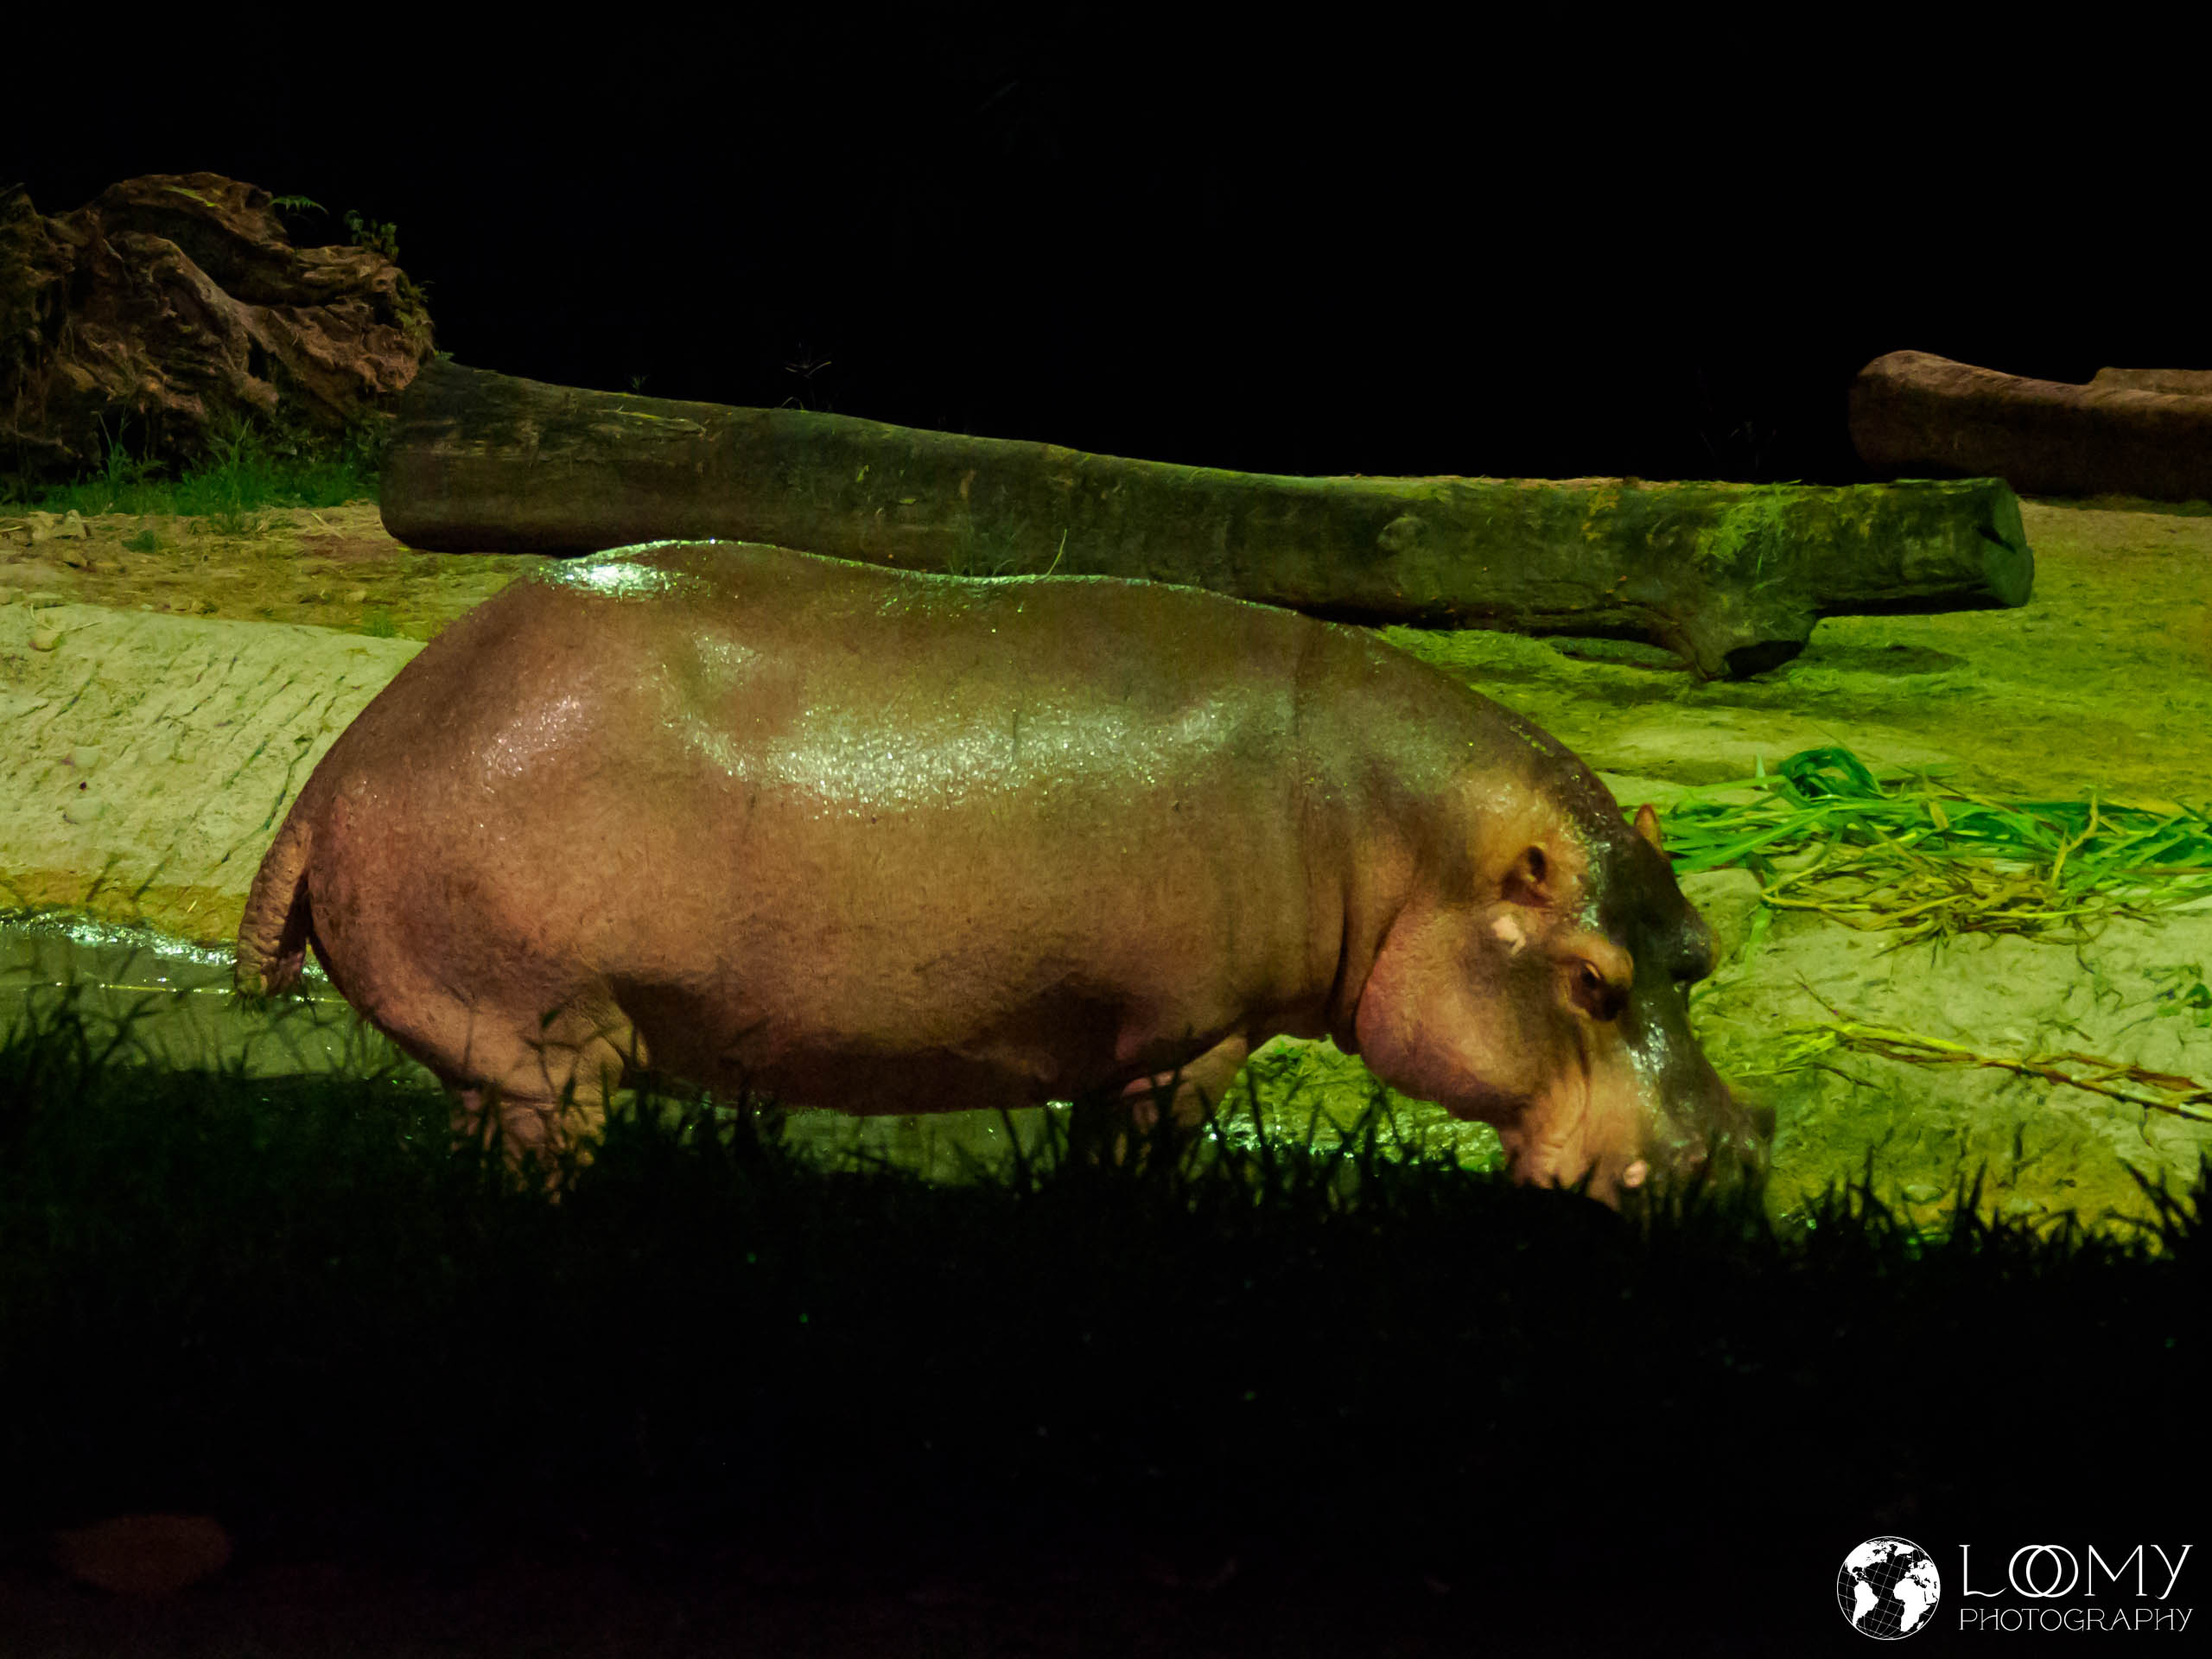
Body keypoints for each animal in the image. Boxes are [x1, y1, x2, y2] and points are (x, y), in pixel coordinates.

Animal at [235, 541, 1768, 1201]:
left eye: (1698, 951)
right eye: (1591, 979)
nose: (1731, 1161)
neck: (1399, 834)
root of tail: (344, 759)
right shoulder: (1188, 1039)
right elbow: (1141, 1157)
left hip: (506, 1053)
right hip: (546, 1048)